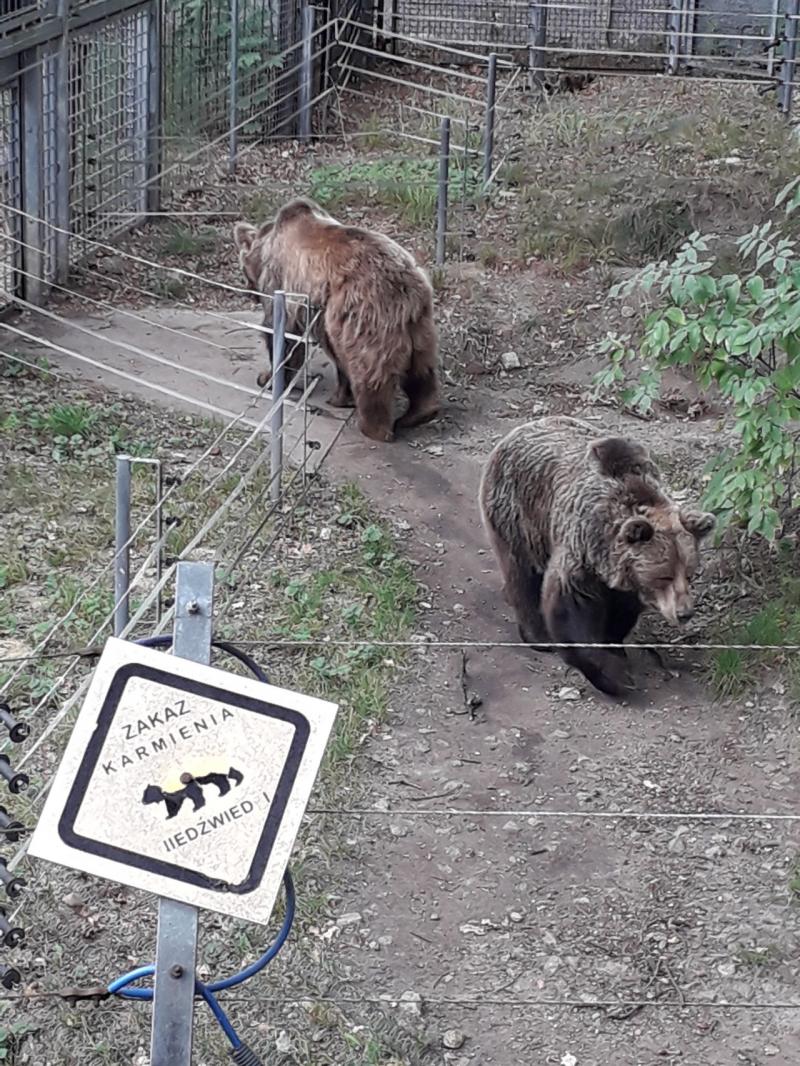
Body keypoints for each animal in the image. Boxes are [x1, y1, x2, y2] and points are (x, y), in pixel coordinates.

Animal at [231, 198, 445, 443]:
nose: (248, 291)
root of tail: (406, 289)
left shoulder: (282, 281)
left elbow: (282, 334)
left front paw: (267, 378)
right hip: (419, 324)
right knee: (421, 368)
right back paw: (419, 413)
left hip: (365, 316)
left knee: (370, 372)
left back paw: (375, 427)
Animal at [480, 415, 716, 699]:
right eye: (664, 576)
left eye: (689, 573)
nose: (684, 613)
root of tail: (520, 429)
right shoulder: (581, 551)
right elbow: (571, 610)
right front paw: (616, 676)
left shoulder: (623, 580)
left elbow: (620, 613)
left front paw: (615, 648)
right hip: (520, 512)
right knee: (522, 572)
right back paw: (536, 635)